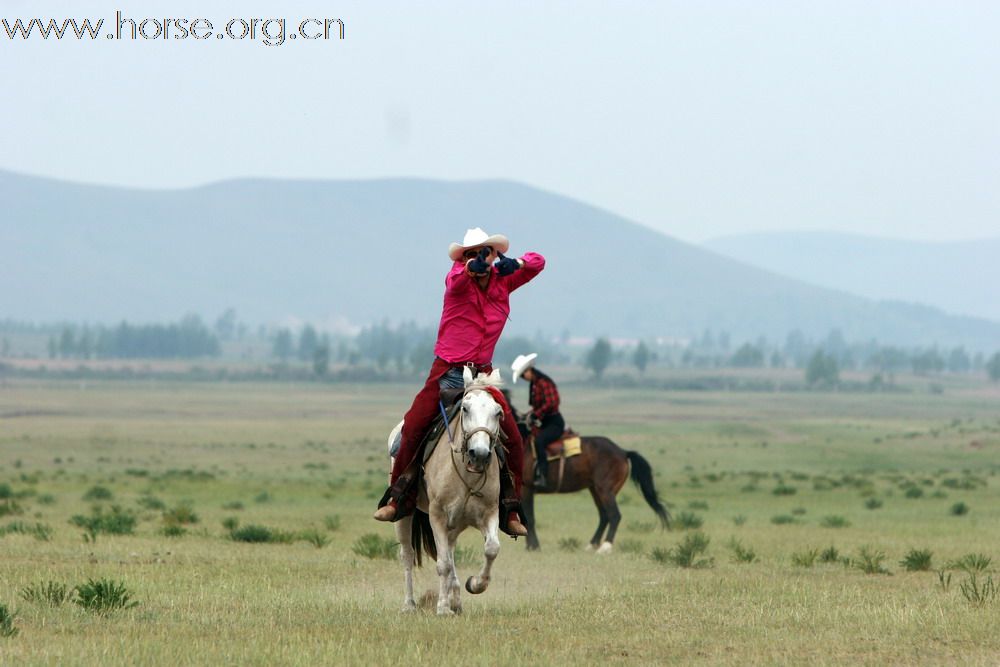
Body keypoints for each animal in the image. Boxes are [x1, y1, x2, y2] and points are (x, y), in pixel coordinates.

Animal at [386, 366, 504, 616]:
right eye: (465, 409)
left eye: (498, 412)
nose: (479, 454)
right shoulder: (437, 515)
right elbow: (443, 564)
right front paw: (441, 607)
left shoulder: (489, 513)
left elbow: (491, 549)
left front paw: (475, 584)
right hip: (405, 514)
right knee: (408, 555)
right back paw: (409, 605)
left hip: (455, 524)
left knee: (449, 549)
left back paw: (456, 599)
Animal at [508, 396, 672, 552]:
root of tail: (623, 452)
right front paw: (530, 546)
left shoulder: (527, 489)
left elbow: (530, 519)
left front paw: (534, 546)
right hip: (595, 489)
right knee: (604, 515)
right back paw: (592, 545)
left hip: (605, 489)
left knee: (614, 515)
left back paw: (605, 547)